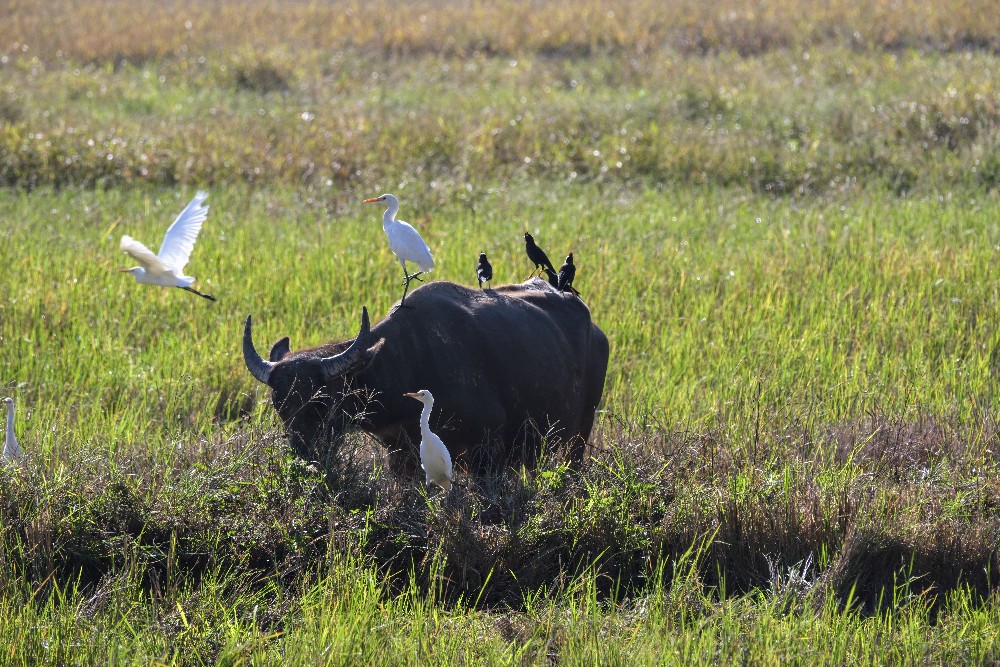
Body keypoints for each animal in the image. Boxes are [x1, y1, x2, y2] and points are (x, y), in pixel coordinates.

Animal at [242, 280, 608, 472]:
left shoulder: (487, 449)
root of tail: (596, 330)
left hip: (580, 432)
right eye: (280, 407)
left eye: (320, 403)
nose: (303, 455)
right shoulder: (401, 455)